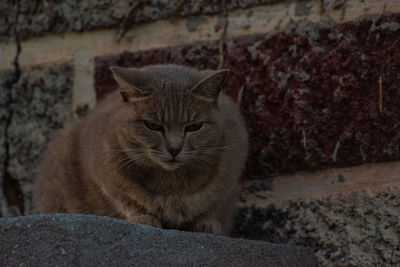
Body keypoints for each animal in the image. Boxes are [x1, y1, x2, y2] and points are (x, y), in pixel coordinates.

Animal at [35, 65, 247, 237]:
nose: (174, 148)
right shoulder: (105, 175)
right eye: (153, 125)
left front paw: (206, 222)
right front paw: (142, 217)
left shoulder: (229, 177)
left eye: (194, 126)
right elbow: (125, 199)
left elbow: (212, 204)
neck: (171, 185)